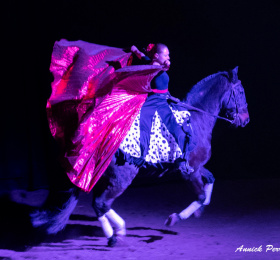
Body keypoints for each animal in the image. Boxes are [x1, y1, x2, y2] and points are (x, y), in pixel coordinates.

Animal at [30, 66, 249, 247]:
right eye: (240, 92)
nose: (245, 120)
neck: (196, 119)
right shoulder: (190, 171)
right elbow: (201, 195)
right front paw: (175, 218)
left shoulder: (195, 167)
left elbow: (210, 179)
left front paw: (199, 210)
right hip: (122, 177)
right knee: (102, 203)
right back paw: (116, 235)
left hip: (104, 178)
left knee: (98, 204)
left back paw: (116, 233)